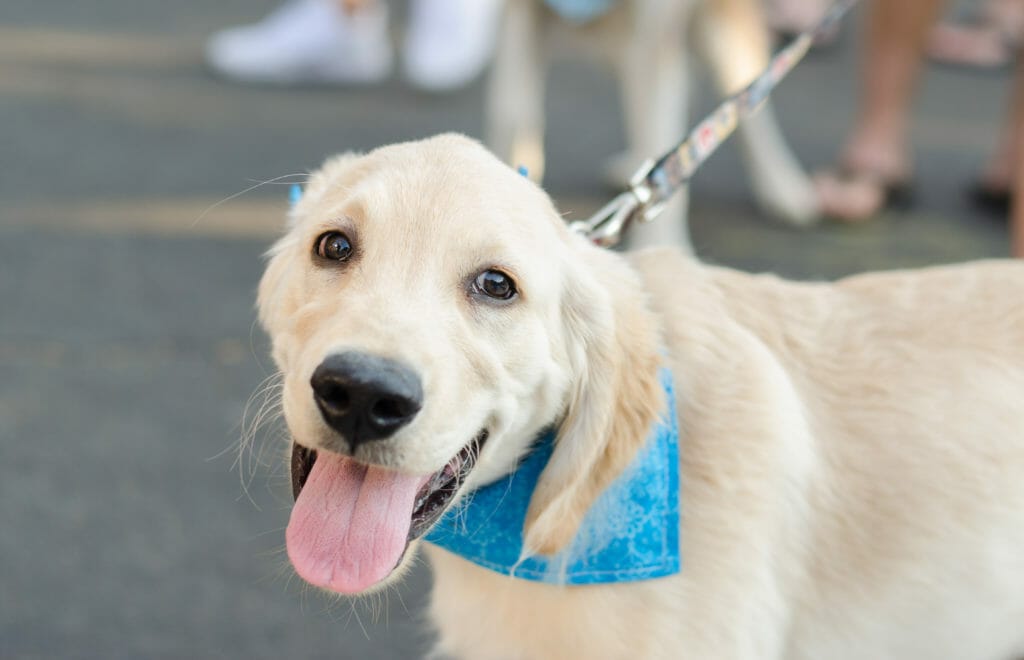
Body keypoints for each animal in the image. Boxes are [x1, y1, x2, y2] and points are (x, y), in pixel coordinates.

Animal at [489, 0, 823, 249]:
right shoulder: (517, 18)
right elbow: (510, 115)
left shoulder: (656, 33)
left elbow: (661, 138)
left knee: (750, 100)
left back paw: (782, 186)